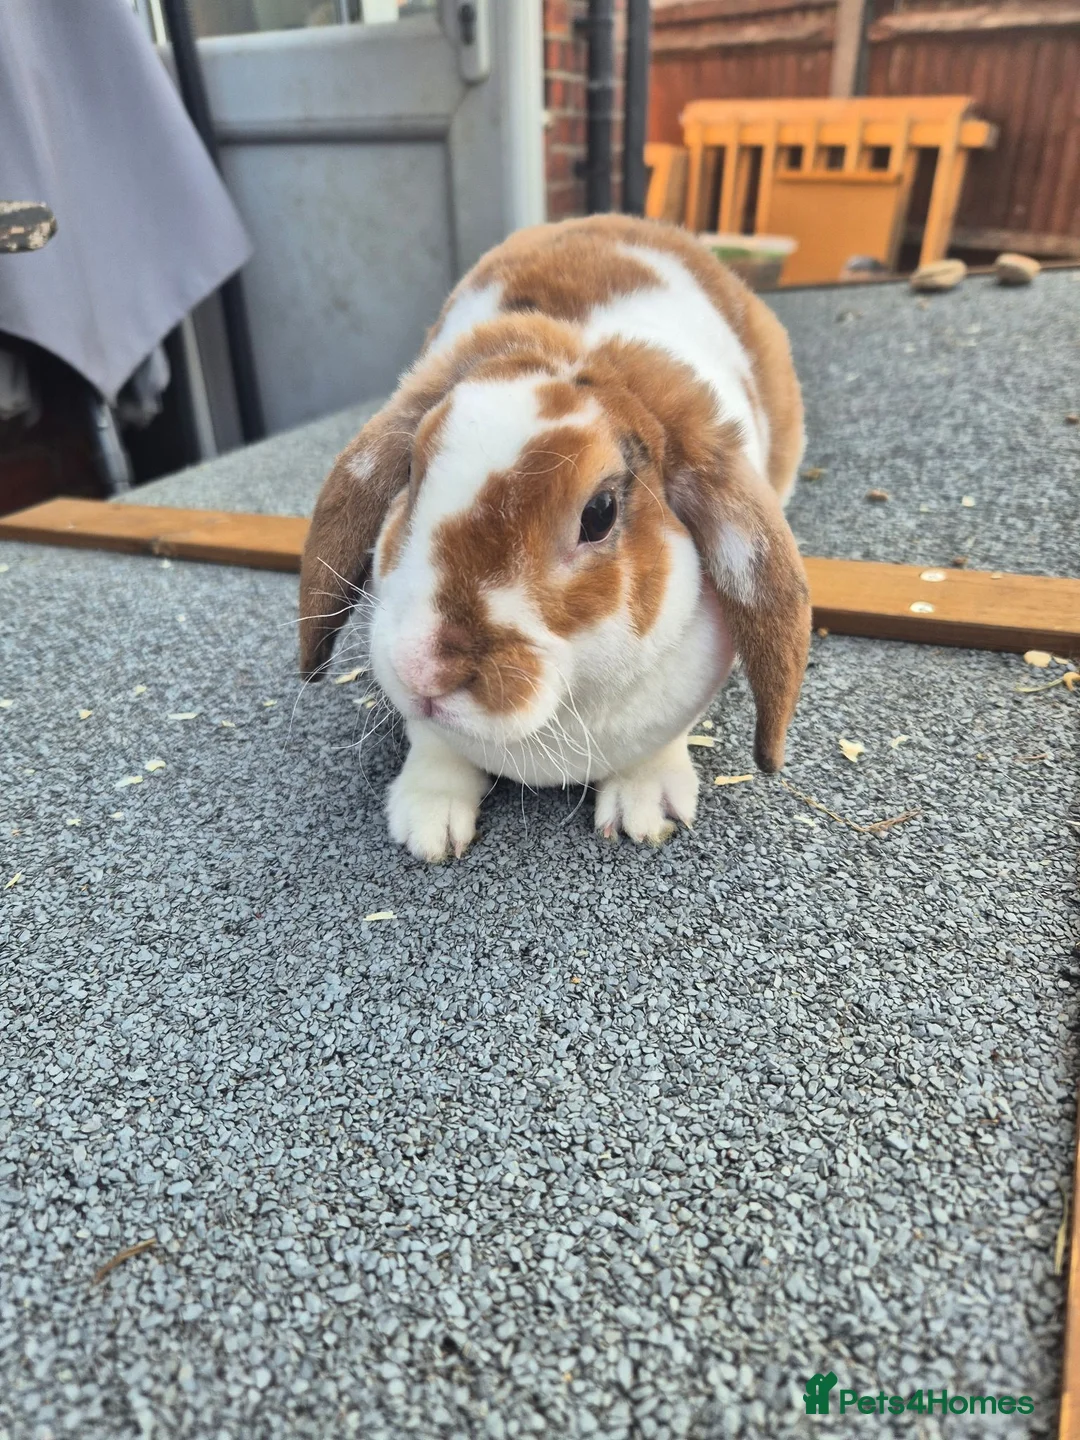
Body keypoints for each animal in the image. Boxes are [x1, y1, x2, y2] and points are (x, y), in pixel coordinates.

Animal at [299, 214, 810, 861]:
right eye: (412, 472)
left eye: (599, 514)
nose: (423, 673)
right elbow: (433, 745)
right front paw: (428, 824)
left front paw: (647, 811)